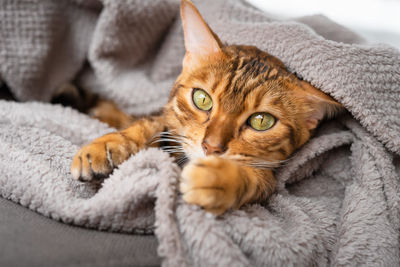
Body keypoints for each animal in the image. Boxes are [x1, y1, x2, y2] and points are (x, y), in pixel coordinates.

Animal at [70, 0, 342, 216]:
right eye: (202, 99)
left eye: (261, 121)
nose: (211, 147)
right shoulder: (167, 121)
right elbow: (150, 124)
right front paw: (107, 145)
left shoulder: (269, 178)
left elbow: (257, 180)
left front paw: (218, 179)